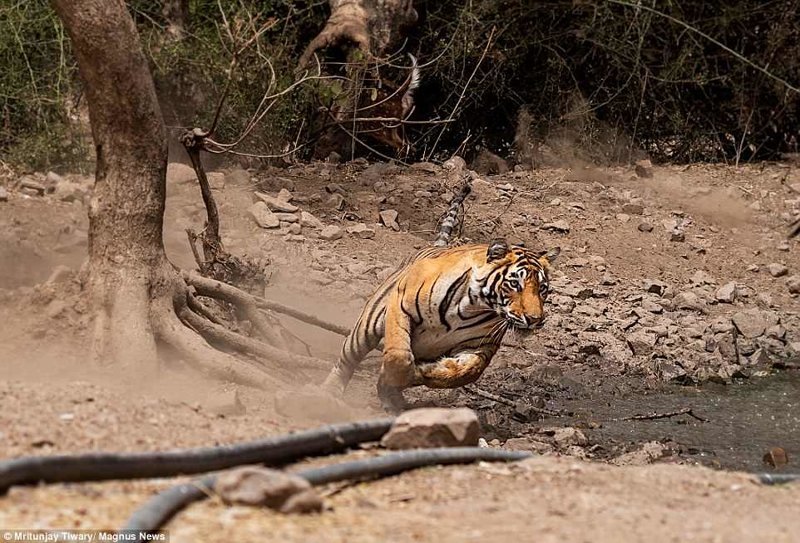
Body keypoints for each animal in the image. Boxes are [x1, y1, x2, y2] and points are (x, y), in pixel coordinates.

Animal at [322, 238, 560, 412]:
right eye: (514, 284)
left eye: (542, 288)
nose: (535, 319)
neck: (471, 307)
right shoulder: (401, 306)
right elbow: (398, 355)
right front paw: (398, 375)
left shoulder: (481, 346)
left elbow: (467, 371)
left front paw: (424, 372)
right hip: (366, 327)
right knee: (346, 361)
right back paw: (329, 393)